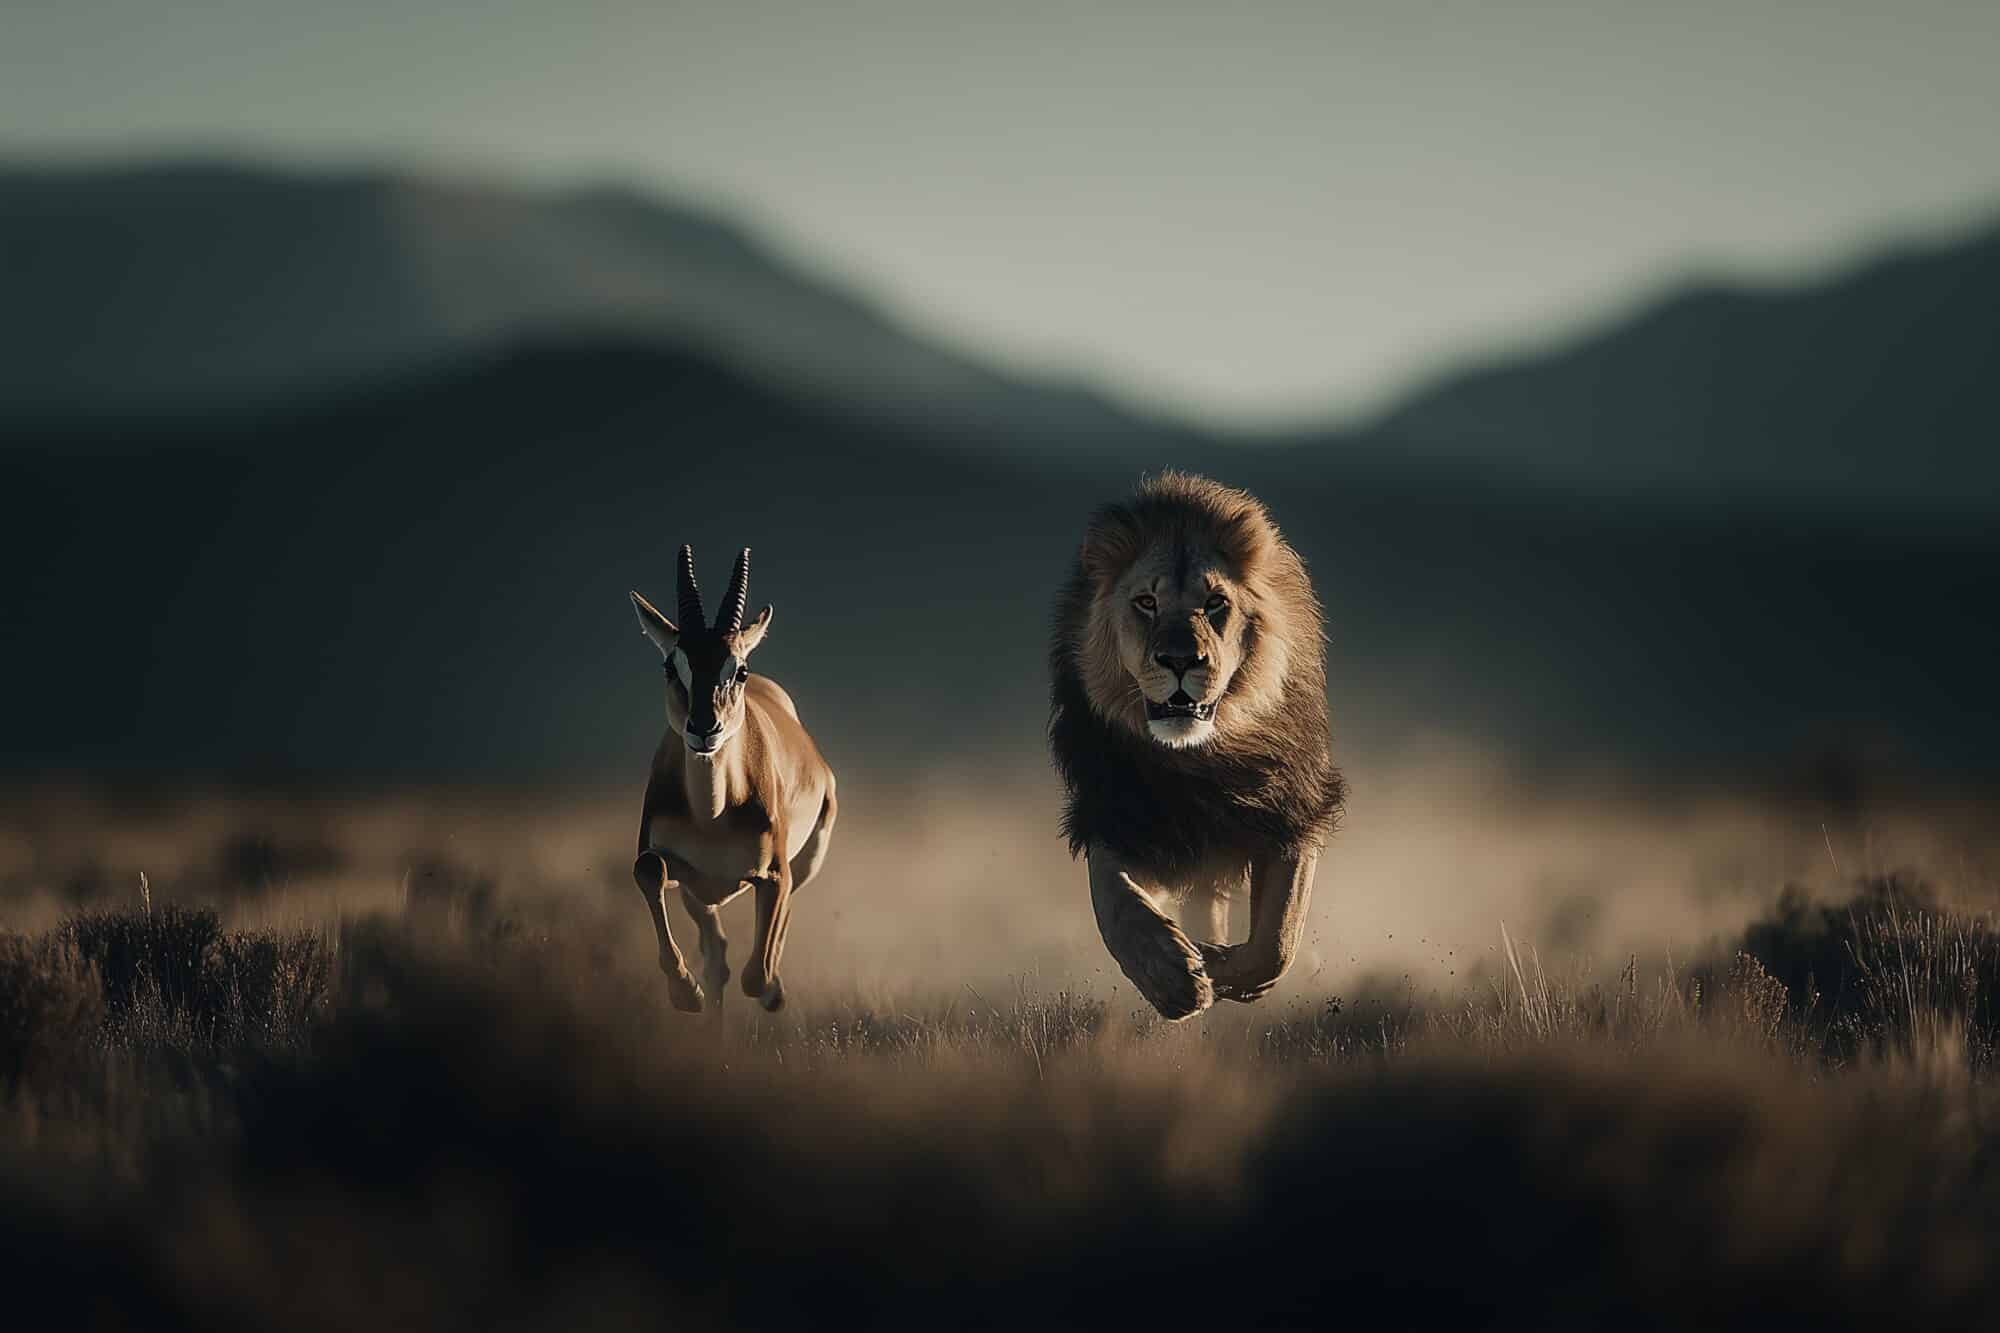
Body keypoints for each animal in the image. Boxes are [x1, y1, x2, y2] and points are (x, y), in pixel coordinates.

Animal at [627, 545, 837, 1014]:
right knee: (718, 958)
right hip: (700, 895)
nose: (704, 729)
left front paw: (774, 989)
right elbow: (648, 868)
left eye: (737, 669)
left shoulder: (774, 875)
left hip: (806, 862)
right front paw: (685, 992)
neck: (713, 816)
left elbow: (755, 977)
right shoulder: (680, 872)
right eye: (671, 666)